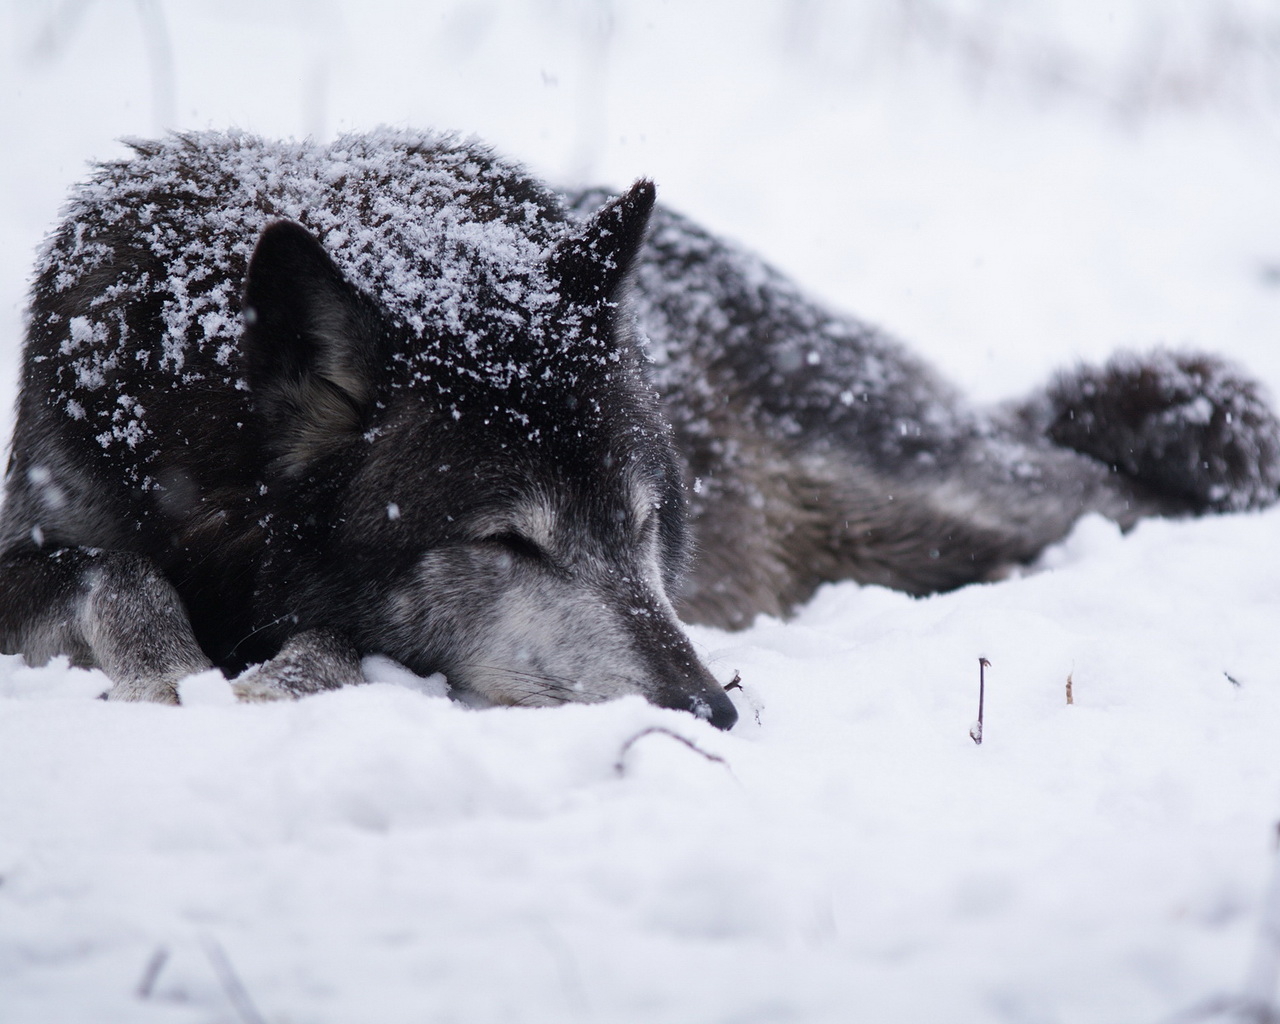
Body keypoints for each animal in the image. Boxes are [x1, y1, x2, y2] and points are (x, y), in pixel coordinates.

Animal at [2, 131, 1280, 727]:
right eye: (506, 542)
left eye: (643, 523)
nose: (711, 711)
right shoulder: (45, 525)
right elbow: (110, 568)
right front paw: (175, 669)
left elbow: (326, 639)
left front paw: (270, 677)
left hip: (938, 498)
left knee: (1109, 492)